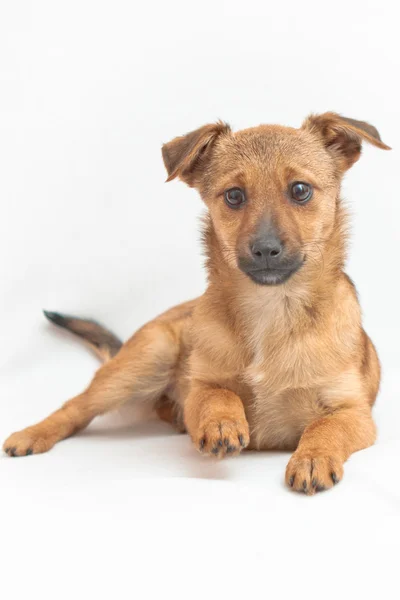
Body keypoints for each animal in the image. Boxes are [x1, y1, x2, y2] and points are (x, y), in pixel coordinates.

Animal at [3, 111, 390, 492]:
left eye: (300, 190)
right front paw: (222, 423)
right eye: (233, 196)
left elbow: (324, 426)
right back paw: (32, 434)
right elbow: (218, 395)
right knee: (76, 407)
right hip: (146, 357)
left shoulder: (354, 412)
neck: (271, 308)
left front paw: (312, 458)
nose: (265, 249)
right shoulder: (200, 386)